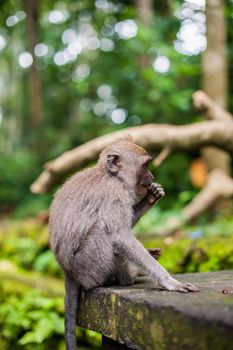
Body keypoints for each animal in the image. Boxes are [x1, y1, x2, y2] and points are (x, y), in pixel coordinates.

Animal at [48, 137, 198, 350]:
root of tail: (67, 272)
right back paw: (127, 277)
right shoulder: (114, 193)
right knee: (104, 230)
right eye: (146, 165)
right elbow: (119, 234)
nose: (151, 176)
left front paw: (152, 196)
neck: (112, 176)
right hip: (89, 266)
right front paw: (168, 281)